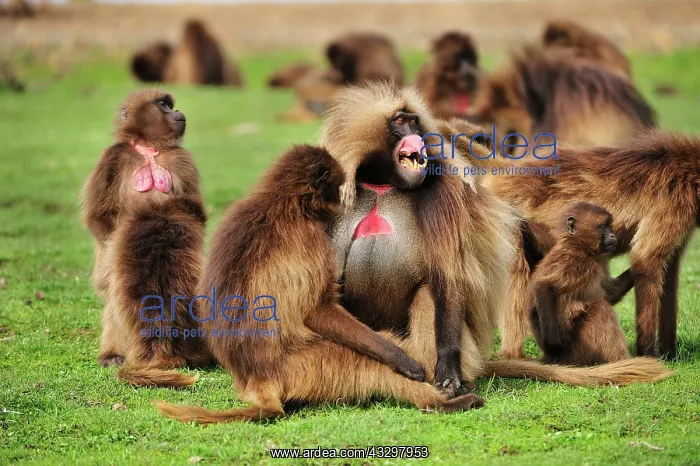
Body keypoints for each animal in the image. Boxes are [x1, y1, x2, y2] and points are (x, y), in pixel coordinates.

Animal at [81, 89, 210, 388]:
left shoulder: (181, 159)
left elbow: (195, 209)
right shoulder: (113, 157)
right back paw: (112, 355)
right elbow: (99, 217)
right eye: (163, 105)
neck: (149, 150)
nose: (178, 111)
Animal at [153, 144, 486, 424]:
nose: (341, 202)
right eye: (336, 187)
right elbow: (318, 310)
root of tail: (257, 379)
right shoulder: (311, 238)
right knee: (368, 364)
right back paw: (445, 402)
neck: (280, 202)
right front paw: (403, 359)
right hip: (309, 365)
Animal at [529, 202, 633, 366]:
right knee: (601, 309)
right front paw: (553, 344)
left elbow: (610, 294)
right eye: (603, 226)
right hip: (576, 351)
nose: (612, 235)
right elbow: (543, 286)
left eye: (609, 226)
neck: (582, 249)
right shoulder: (570, 258)